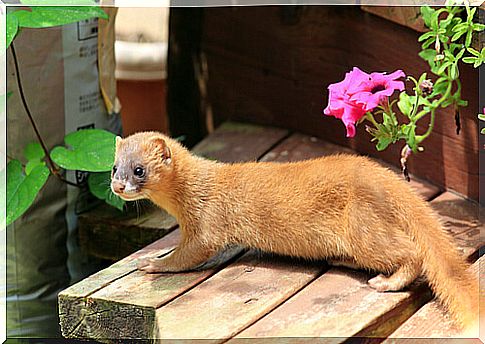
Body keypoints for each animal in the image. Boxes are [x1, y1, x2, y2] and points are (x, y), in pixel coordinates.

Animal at [112, 130, 476, 330]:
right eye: (114, 166)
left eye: (139, 169)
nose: (117, 186)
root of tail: (382, 176)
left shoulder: (206, 226)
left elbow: (189, 254)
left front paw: (151, 263)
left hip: (363, 228)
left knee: (410, 253)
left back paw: (386, 282)